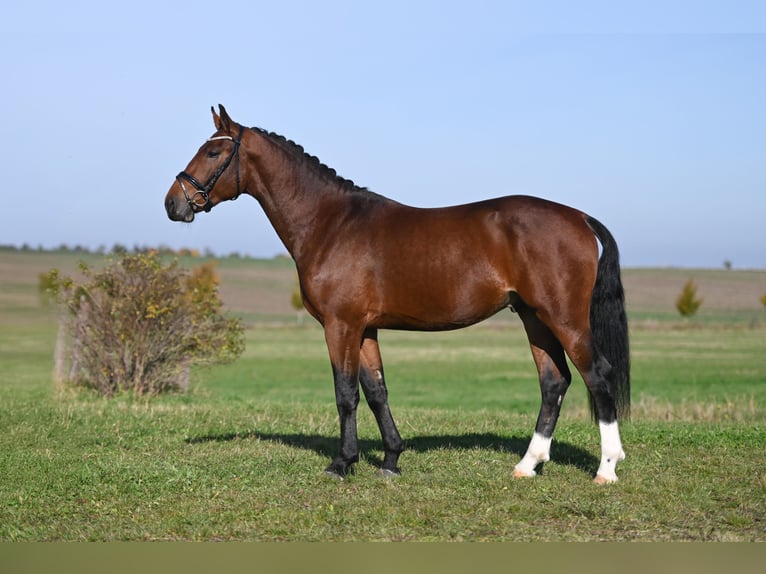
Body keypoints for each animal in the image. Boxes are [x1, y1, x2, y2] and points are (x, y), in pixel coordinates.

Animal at [165, 104, 632, 486]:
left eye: (212, 153)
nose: (173, 203)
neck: (329, 223)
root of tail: (579, 217)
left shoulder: (340, 325)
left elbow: (346, 393)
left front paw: (342, 463)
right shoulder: (366, 329)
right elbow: (376, 391)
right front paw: (390, 460)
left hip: (565, 318)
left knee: (598, 376)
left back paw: (607, 468)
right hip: (533, 317)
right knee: (554, 382)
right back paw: (527, 465)